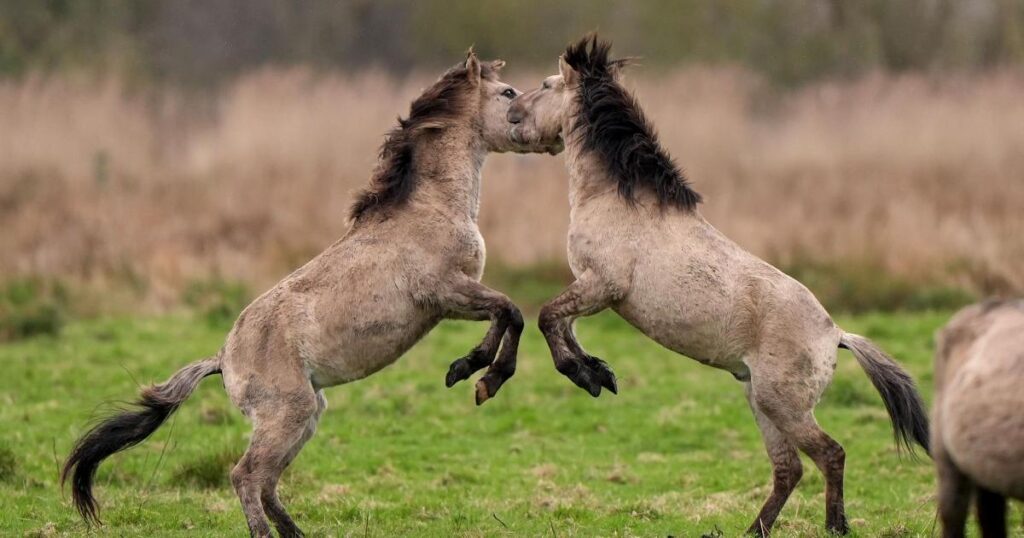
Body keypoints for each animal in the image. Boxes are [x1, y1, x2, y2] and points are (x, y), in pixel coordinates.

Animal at [61, 50, 558, 537]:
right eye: (508, 93)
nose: (550, 136)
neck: (429, 208)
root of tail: (223, 360)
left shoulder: (451, 301)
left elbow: (507, 314)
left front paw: (471, 372)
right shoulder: (447, 293)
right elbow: (510, 311)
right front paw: (475, 375)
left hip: (308, 414)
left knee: (267, 483)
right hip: (289, 415)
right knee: (246, 476)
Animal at [507, 35, 929, 535]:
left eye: (545, 84)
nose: (510, 113)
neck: (618, 200)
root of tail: (837, 335)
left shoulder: (601, 286)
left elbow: (548, 317)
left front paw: (588, 377)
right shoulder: (590, 291)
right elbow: (563, 326)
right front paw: (599, 372)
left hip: (781, 404)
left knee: (830, 454)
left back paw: (835, 526)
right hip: (760, 402)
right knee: (789, 469)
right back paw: (753, 530)